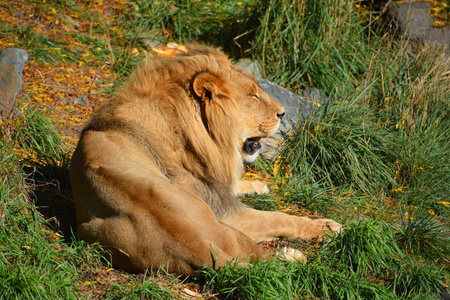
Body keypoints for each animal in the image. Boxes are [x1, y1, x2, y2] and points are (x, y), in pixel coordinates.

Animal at [69, 45, 342, 276]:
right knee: (265, 260)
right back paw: (294, 256)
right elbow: (281, 218)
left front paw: (255, 186)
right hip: (229, 227)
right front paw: (326, 227)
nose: (283, 113)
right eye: (253, 96)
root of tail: (197, 248)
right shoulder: (228, 211)